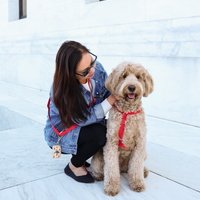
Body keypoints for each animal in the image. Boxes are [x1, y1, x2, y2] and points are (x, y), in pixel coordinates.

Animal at [91, 61, 154, 195]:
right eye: (124, 76)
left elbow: (136, 167)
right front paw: (111, 187)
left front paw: (137, 184)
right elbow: (111, 168)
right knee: (100, 169)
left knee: (135, 167)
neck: (127, 112)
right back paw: (98, 176)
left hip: (144, 152)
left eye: (138, 77)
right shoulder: (111, 143)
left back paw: (144, 171)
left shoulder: (140, 144)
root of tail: (123, 168)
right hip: (98, 159)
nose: (131, 87)